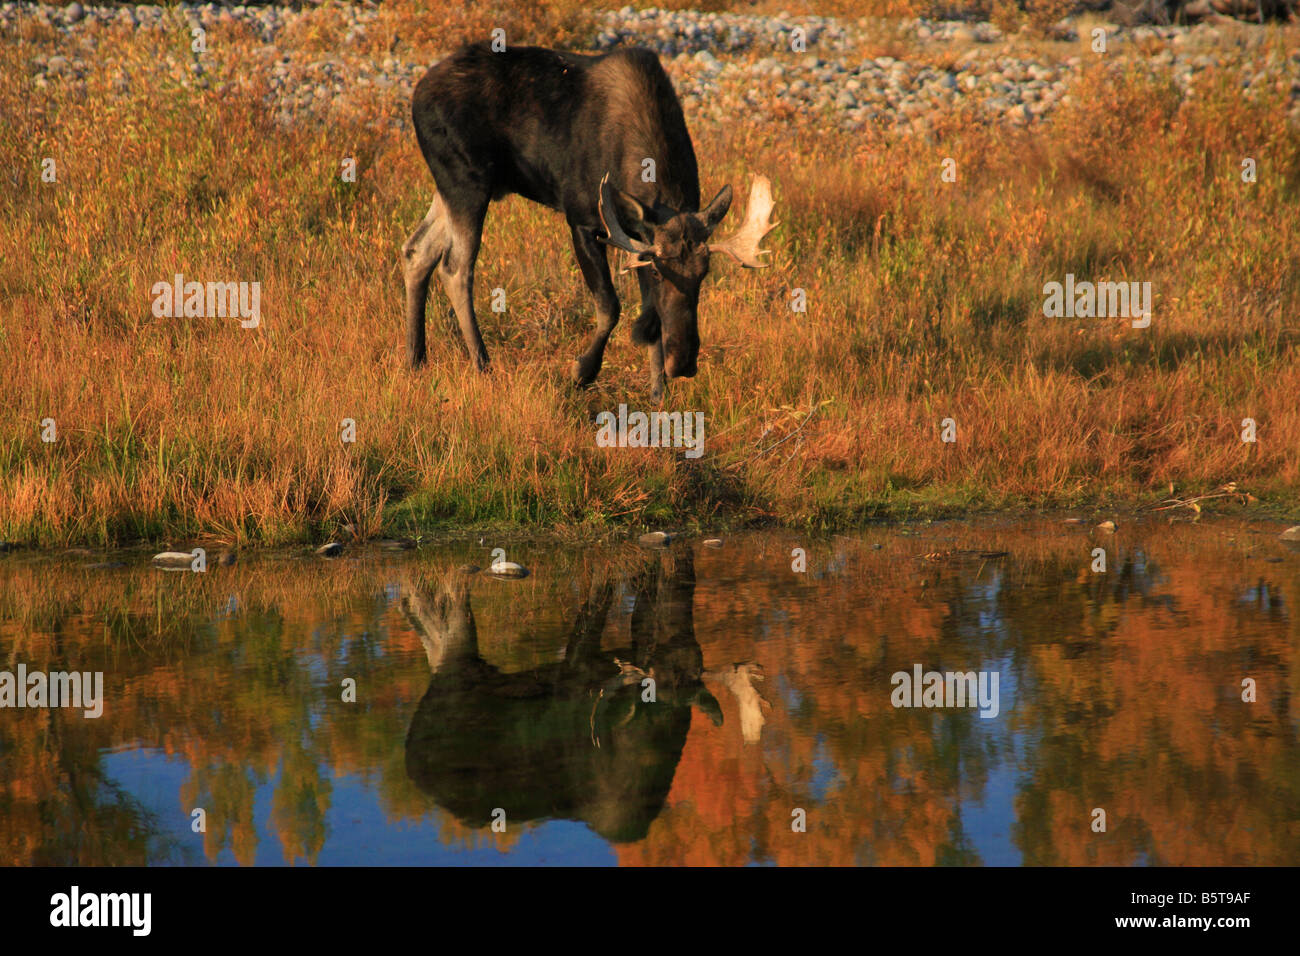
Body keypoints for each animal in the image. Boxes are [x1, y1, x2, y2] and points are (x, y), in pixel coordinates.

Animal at [400, 41, 774, 398]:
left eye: (704, 273)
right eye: (658, 271)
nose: (683, 363)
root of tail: (417, 94)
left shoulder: (637, 238)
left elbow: (650, 313)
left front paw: (658, 392)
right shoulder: (582, 221)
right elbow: (610, 306)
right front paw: (582, 371)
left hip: (456, 186)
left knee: (417, 250)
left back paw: (415, 359)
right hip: (467, 181)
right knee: (455, 268)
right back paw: (482, 364)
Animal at [400, 554, 764, 842]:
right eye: (657, 659)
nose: (679, 573)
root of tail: (414, 767)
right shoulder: (577, 672)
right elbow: (597, 601)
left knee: (430, 621)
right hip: (458, 676)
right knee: (449, 617)